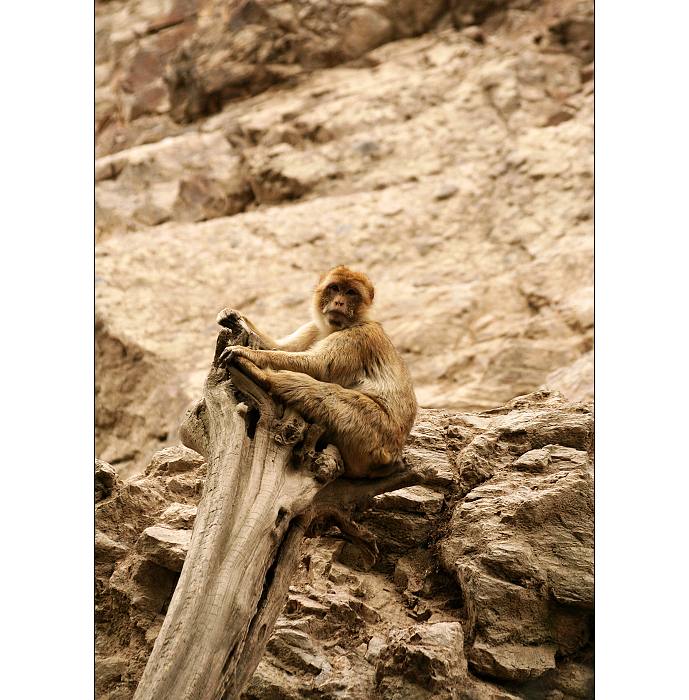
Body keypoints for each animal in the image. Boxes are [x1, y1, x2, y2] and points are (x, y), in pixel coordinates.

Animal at [216, 265, 417, 479]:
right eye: (335, 288)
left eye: (351, 292)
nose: (339, 301)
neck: (344, 326)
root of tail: (393, 457)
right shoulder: (314, 328)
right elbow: (283, 346)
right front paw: (237, 320)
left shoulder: (360, 336)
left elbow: (318, 366)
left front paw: (248, 354)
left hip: (373, 430)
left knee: (322, 391)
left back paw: (263, 376)